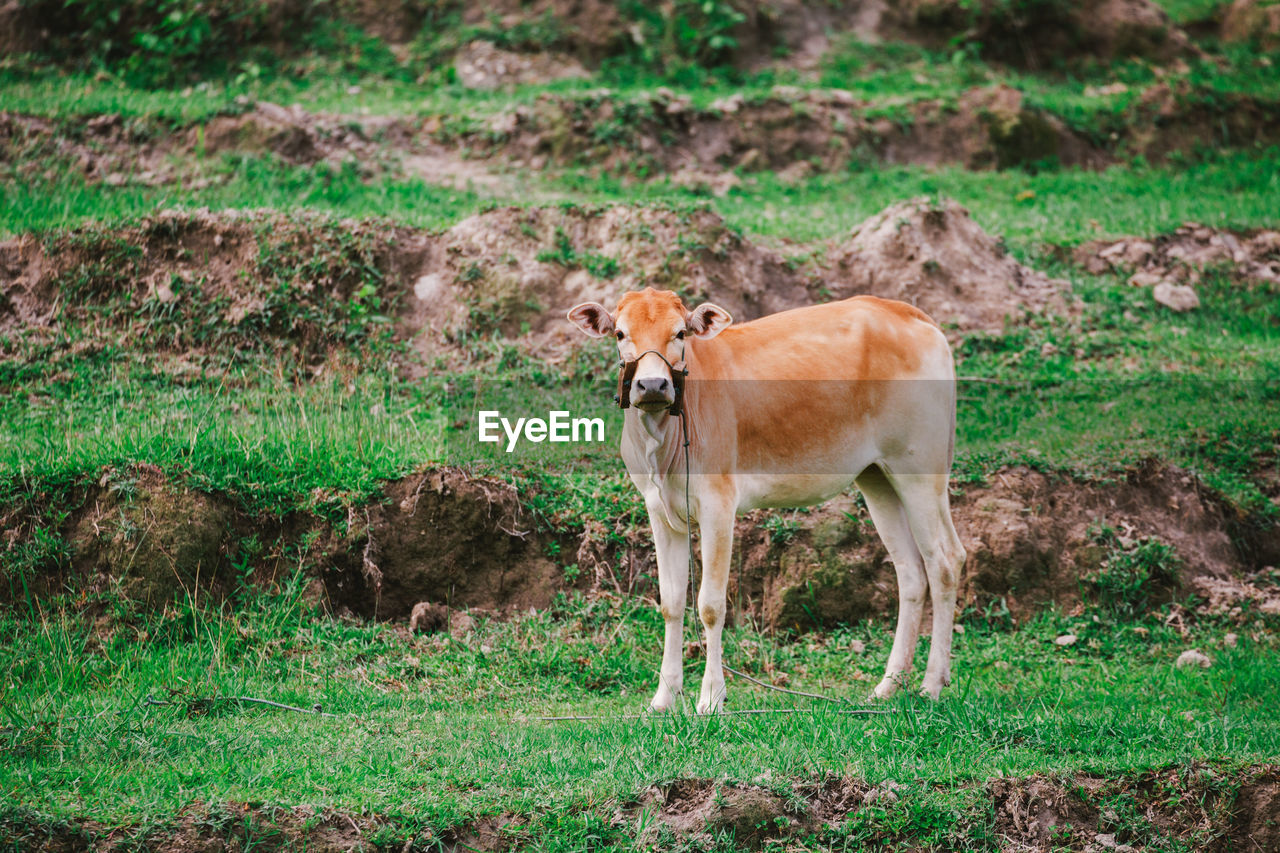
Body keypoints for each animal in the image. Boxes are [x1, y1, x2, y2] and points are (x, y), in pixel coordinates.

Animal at [565, 286, 962, 712]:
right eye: (620, 334)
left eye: (680, 333)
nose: (653, 385)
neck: (661, 445)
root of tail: (908, 313)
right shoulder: (659, 508)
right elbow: (671, 602)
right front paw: (664, 698)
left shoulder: (718, 505)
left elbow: (710, 605)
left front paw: (711, 698)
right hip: (876, 475)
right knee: (910, 571)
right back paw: (888, 686)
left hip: (920, 467)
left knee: (945, 561)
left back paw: (931, 684)